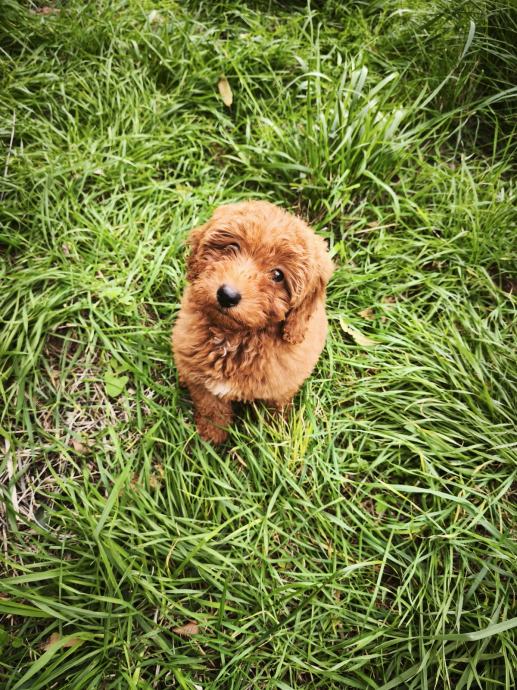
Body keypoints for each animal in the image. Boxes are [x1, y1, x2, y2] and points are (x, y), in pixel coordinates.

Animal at [172, 200, 334, 444]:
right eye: (232, 247)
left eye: (278, 275)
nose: (227, 295)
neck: (234, 338)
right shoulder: (202, 378)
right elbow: (211, 406)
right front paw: (212, 436)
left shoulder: (280, 387)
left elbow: (274, 410)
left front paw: (274, 434)